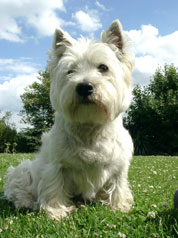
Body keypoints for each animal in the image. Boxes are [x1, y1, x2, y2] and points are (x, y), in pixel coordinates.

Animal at [3, 19, 135, 219]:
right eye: (70, 71)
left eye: (103, 67)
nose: (84, 87)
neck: (89, 126)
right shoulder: (56, 166)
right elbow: (54, 186)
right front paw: (56, 212)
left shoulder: (119, 165)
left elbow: (118, 186)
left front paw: (119, 206)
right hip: (23, 169)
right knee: (16, 189)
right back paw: (26, 203)